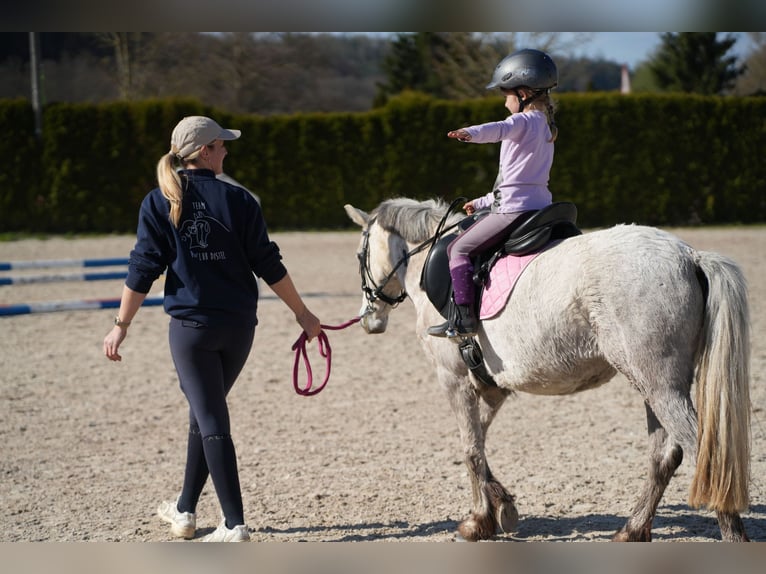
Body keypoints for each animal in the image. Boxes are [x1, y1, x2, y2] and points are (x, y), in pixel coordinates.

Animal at [344, 197, 751, 542]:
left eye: (359, 254)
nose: (368, 318)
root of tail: (688, 255)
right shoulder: (490, 387)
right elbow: (478, 445)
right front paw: (500, 508)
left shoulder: (454, 380)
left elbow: (471, 450)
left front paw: (478, 522)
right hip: (655, 386)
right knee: (664, 456)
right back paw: (632, 530)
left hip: (660, 386)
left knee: (700, 455)